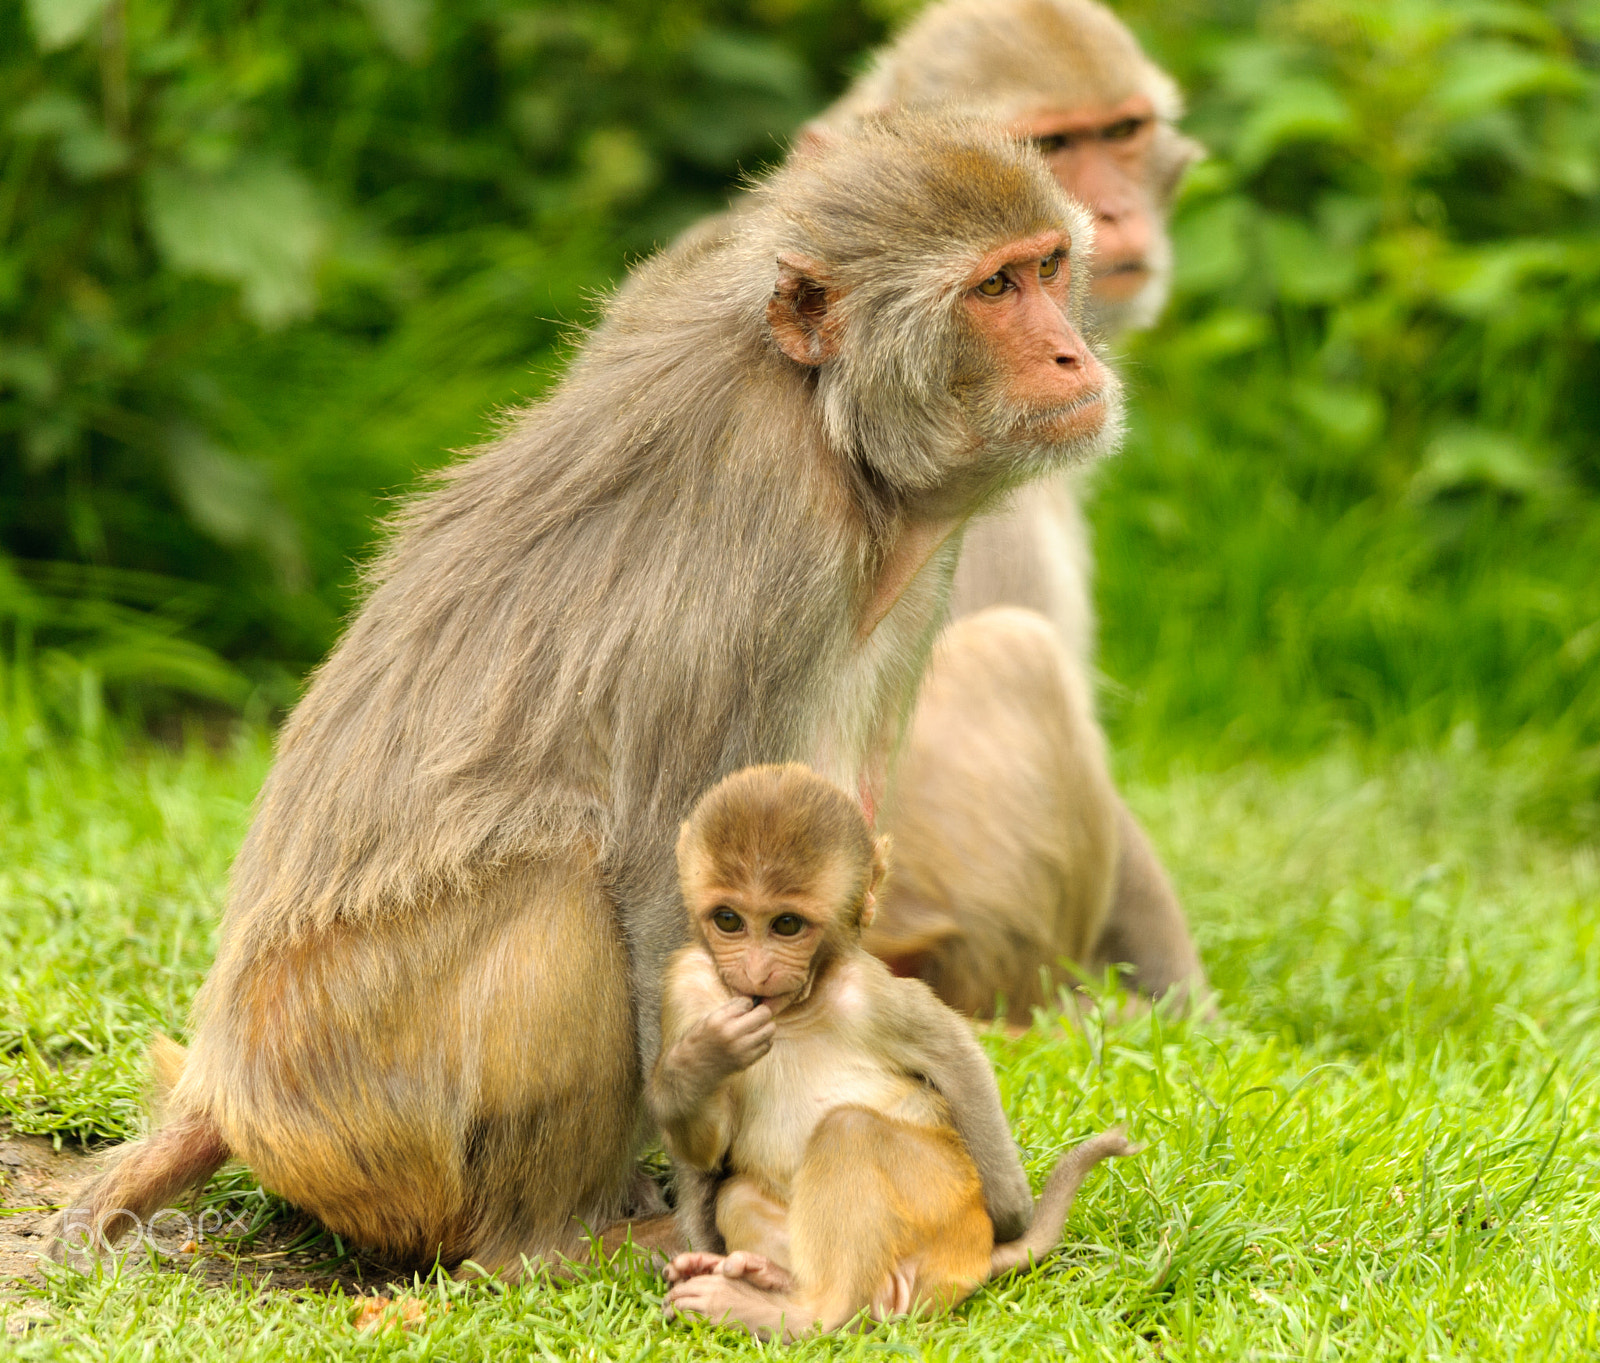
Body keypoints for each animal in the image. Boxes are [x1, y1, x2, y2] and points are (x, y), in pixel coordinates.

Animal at [52, 112, 1124, 1276]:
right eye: (993, 289)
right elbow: (666, 872)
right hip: (356, 1097)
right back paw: (551, 1237)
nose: (1073, 353)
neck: (831, 426)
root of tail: (231, 1089)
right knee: (563, 888)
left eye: (1048, 268)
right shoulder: (767, 528)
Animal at [649, 763, 1136, 1339]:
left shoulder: (870, 993)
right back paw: (767, 1280)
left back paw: (802, 1311)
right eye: (729, 920)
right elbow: (707, 1148)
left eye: (786, 925)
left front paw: (1014, 1218)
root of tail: (966, 1260)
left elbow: (956, 1058)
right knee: (741, 1192)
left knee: (850, 1131)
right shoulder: (685, 984)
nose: (755, 972)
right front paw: (704, 1058)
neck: (794, 1011)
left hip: (945, 1200)